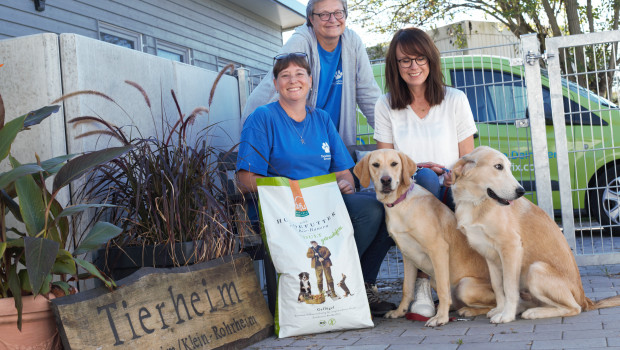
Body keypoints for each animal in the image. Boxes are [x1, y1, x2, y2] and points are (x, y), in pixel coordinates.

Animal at [354, 149, 494, 326]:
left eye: (394, 164)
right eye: (375, 164)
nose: (386, 180)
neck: (400, 204)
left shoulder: (438, 249)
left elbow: (443, 290)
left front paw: (441, 318)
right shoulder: (407, 256)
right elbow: (407, 288)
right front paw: (400, 312)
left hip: (465, 285)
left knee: (496, 304)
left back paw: (467, 310)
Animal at [450, 145, 620, 322]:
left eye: (508, 167)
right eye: (498, 166)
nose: (521, 191)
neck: (475, 202)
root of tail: (585, 299)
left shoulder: (511, 248)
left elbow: (509, 288)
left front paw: (507, 315)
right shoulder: (490, 256)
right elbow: (498, 288)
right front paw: (500, 309)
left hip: (536, 269)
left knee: (574, 308)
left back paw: (534, 313)